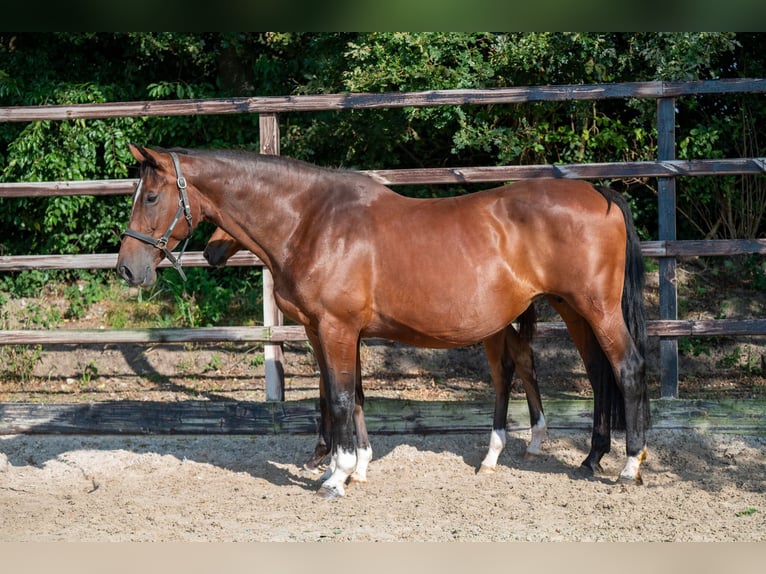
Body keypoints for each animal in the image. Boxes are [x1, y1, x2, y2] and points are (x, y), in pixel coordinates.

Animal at [117, 145, 652, 500]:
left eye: (151, 197)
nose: (127, 268)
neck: (313, 222)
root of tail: (601, 194)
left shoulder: (335, 328)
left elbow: (337, 397)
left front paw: (335, 477)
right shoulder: (329, 331)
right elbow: (349, 395)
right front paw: (355, 467)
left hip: (595, 308)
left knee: (626, 368)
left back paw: (629, 466)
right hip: (570, 308)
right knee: (595, 372)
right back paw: (588, 457)